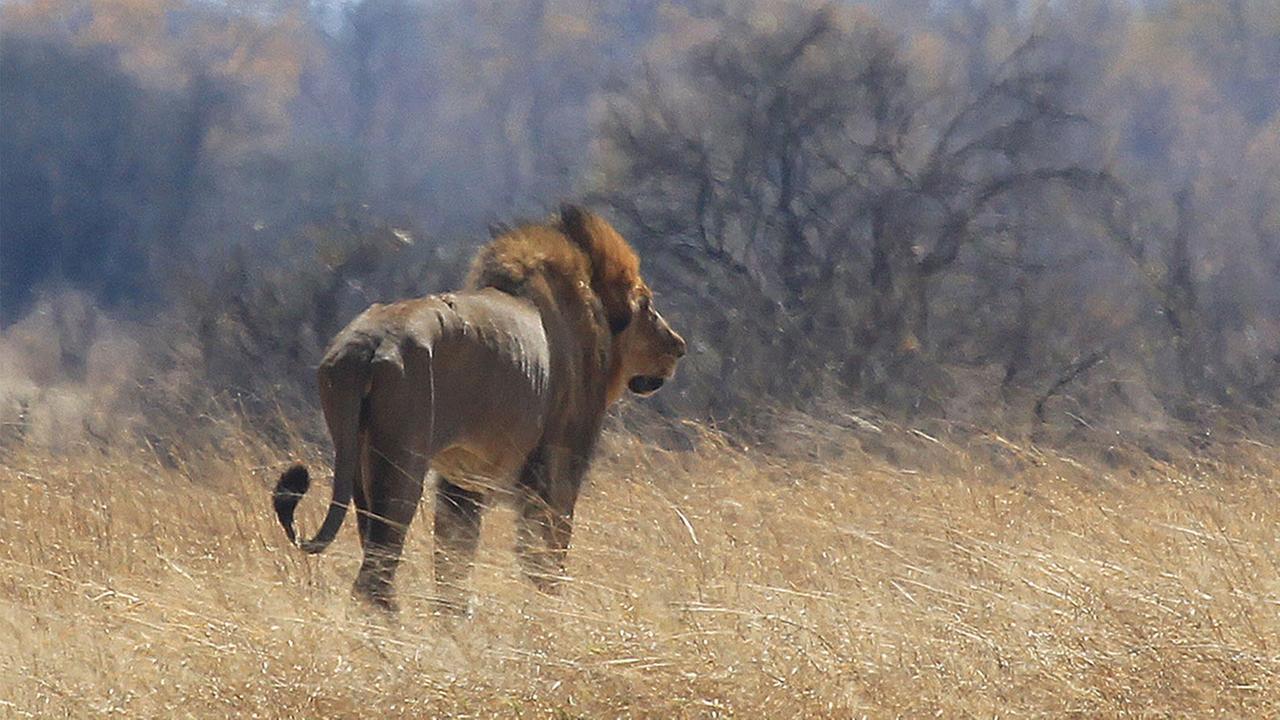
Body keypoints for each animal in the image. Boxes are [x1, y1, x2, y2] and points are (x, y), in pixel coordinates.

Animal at [272, 203, 691, 609]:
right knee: (374, 580)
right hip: (400, 461)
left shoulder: (463, 482)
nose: (679, 346)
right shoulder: (558, 469)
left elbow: (453, 574)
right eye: (646, 303)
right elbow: (546, 563)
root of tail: (368, 347)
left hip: (357, 460)